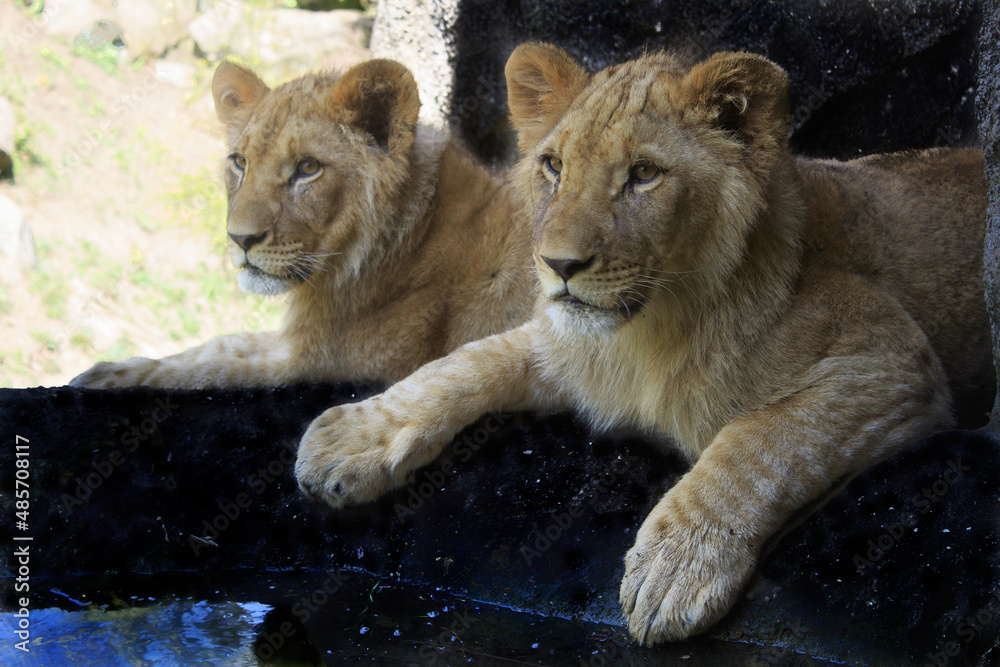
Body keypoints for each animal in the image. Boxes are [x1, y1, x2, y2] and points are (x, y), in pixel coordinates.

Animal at [70, 58, 535, 389]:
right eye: (240, 162)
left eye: (307, 168)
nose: (239, 239)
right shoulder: (297, 339)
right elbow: (221, 343)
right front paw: (122, 364)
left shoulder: (330, 363)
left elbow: (212, 371)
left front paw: (112, 378)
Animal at [293, 43, 993, 645]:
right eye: (554, 166)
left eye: (645, 175)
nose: (558, 265)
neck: (647, 332)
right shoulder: (569, 348)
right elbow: (464, 363)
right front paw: (351, 438)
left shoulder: (891, 357)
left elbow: (762, 437)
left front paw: (675, 568)